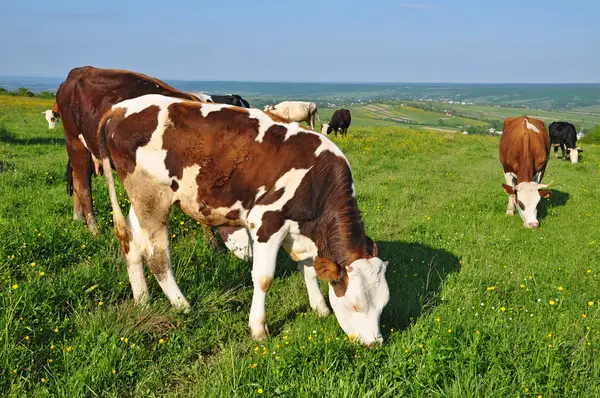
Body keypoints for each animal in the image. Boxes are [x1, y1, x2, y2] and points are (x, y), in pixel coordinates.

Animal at [55, 67, 218, 249]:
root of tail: (80, 70)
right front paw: (212, 242)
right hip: (75, 142)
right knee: (83, 186)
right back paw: (94, 230)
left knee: (78, 181)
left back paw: (78, 218)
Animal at [97, 94, 390, 346]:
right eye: (354, 305)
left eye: (383, 305)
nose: (374, 344)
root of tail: (117, 109)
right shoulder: (267, 222)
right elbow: (263, 278)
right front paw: (258, 328)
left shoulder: (301, 230)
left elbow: (308, 269)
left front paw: (320, 307)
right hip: (152, 198)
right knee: (156, 256)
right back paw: (184, 306)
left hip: (141, 200)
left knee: (131, 243)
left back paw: (142, 300)